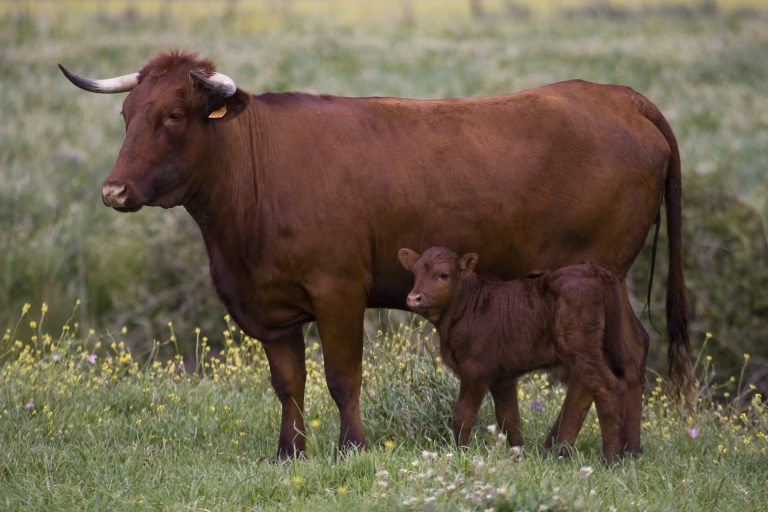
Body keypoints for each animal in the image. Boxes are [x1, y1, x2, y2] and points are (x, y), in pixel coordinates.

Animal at [396, 248, 640, 464]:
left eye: (444, 275)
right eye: (415, 273)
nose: (414, 298)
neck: (465, 308)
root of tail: (591, 270)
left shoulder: (475, 369)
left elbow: (463, 414)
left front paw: (458, 453)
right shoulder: (503, 378)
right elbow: (509, 418)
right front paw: (519, 458)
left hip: (581, 347)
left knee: (608, 387)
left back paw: (610, 460)